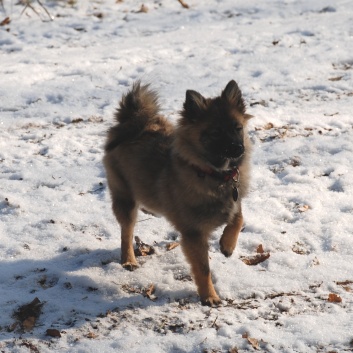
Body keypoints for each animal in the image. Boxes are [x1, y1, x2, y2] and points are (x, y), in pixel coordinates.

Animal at [103, 80, 252, 306]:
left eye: (238, 128)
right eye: (216, 133)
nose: (238, 148)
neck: (214, 174)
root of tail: (132, 120)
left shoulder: (234, 201)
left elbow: (238, 218)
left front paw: (227, 245)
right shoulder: (193, 233)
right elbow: (203, 269)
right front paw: (209, 296)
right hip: (124, 198)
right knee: (126, 232)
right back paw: (129, 259)